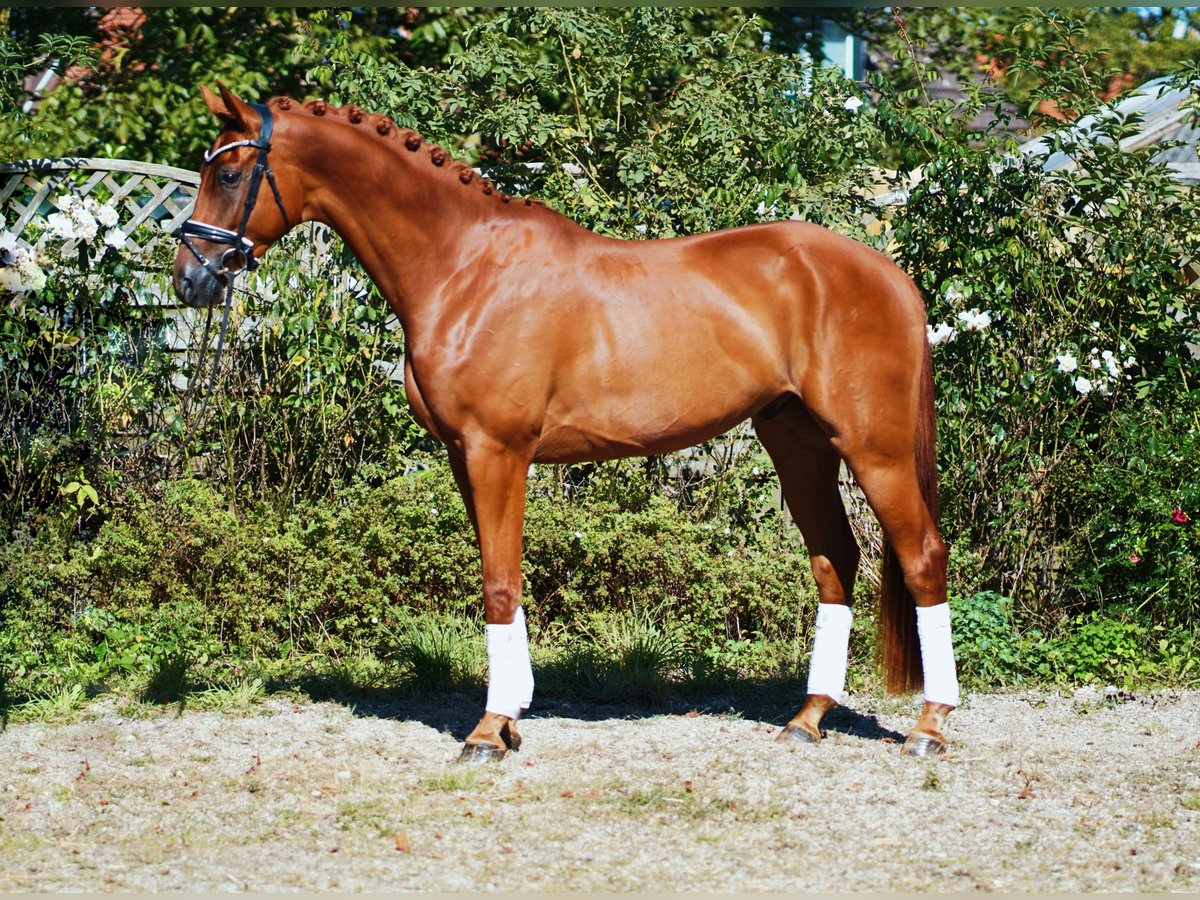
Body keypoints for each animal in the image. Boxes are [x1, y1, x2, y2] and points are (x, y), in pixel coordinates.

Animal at [174, 84, 960, 763]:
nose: (190, 277)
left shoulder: (497, 451)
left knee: (922, 556)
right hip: (796, 441)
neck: (465, 267)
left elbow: (498, 583)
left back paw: (929, 726)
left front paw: (487, 731)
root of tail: (889, 275)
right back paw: (808, 717)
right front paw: (512, 715)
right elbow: (502, 575)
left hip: (876, 448)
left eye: (232, 171)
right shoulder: (466, 455)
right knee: (836, 560)